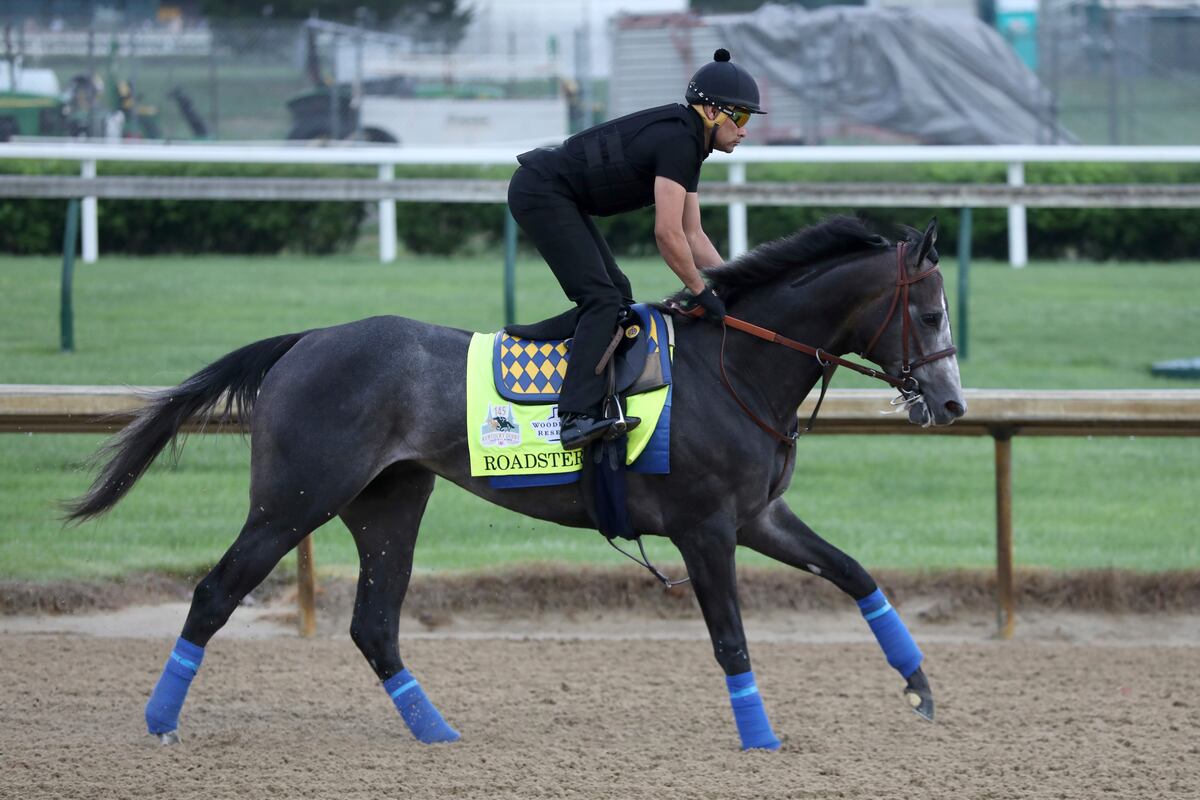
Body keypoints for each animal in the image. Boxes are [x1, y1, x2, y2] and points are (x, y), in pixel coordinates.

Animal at [66, 214, 965, 750]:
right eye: (929, 314)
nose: (953, 403)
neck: (734, 364)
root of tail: (306, 339)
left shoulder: (759, 517)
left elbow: (856, 575)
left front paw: (920, 686)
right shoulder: (706, 528)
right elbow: (731, 636)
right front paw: (761, 738)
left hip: (389, 503)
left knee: (374, 625)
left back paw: (437, 732)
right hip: (293, 500)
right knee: (216, 593)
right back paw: (159, 722)